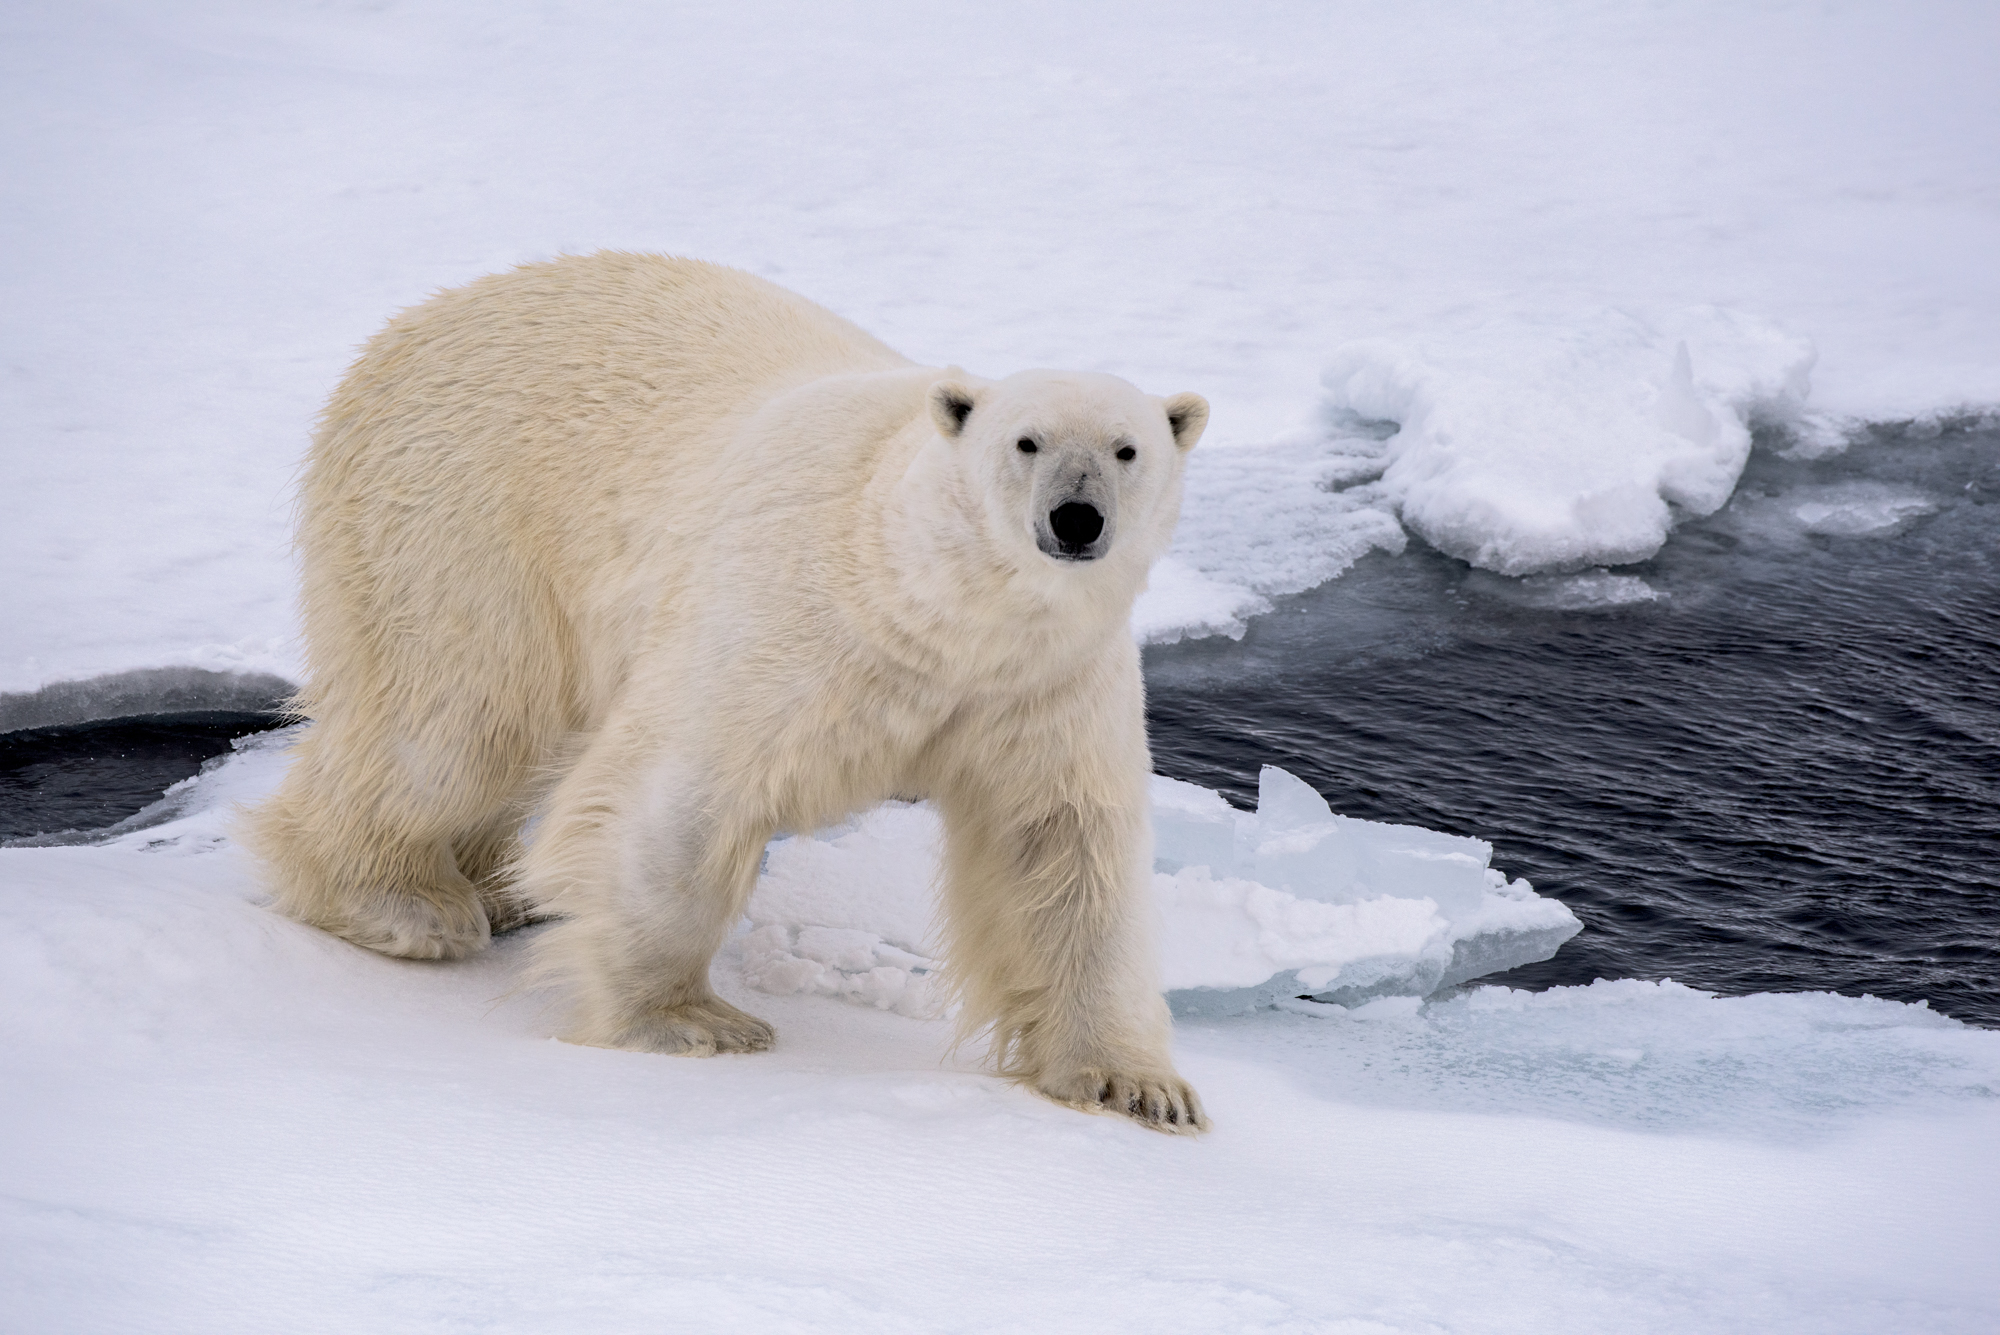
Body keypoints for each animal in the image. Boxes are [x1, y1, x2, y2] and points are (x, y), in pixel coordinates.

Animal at [244, 252, 1211, 1132]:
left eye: (1127, 449)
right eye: (1026, 441)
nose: (1075, 519)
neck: (923, 600)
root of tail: (411, 324)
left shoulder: (1043, 685)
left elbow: (1062, 850)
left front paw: (1135, 1085)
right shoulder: (791, 620)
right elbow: (680, 798)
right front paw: (689, 1022)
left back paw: (499, 888)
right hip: (457, 516)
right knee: (453, 724)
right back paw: (405, 903)